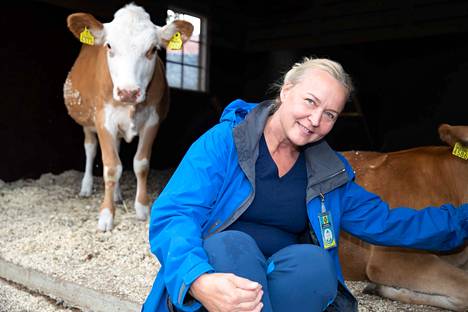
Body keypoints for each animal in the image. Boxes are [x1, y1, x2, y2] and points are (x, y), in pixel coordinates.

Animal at [63, 3, 192, 230]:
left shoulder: (152, 121)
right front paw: (106, 215)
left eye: (152, 50)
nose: (128, 92)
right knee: (90, 148)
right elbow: (111, 168)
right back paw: (86, 186)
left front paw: (142, 208)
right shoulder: (103, 120)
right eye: (109, 46)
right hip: (87, 121)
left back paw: (117, 195)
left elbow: (140, 164)